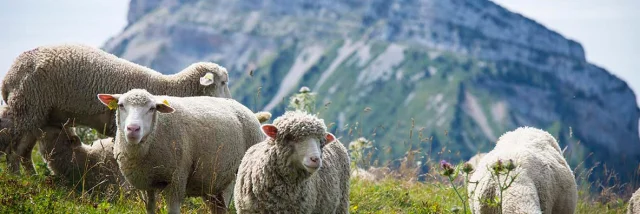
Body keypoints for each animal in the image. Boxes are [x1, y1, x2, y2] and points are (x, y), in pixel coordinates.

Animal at [1, 43, 231, 174]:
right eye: (223, 82)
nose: (231, 102)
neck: (168, 88)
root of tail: (10, 74)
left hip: (39, 114)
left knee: (23, 153)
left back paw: (33, 181)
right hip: (27, 107)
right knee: (13, 153)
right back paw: (19, 182)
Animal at [97, 88, 262, 213]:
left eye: (152, 108)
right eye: (120, 105)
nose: (133, 129)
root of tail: (243, 107)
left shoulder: (177, 179)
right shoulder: (147, 184)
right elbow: (150, 208)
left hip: (231, 178)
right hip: (210, 183)